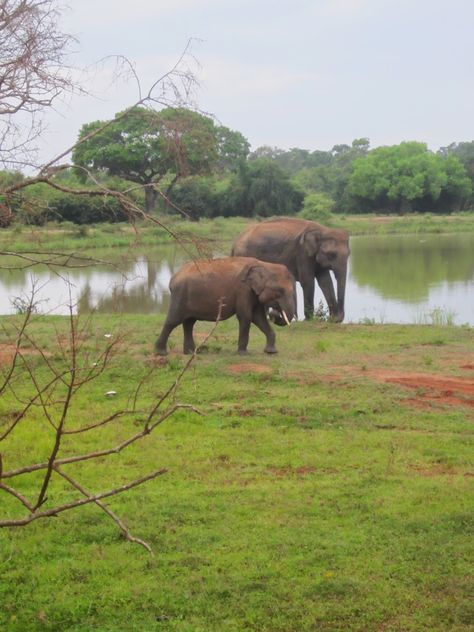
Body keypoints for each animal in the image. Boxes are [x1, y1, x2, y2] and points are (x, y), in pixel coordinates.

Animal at [156, 256, 296, 356]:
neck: (264, 264)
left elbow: (258, 318)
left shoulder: (252, 293)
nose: (274, 313)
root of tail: (173, 278)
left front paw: (271, 352)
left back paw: (190, 352)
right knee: (173, 321)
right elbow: (246, 316)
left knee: (189, 323)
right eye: (280, 291)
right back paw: (161, 353)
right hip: (180, 295)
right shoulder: (243, 290)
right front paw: (243, 354)